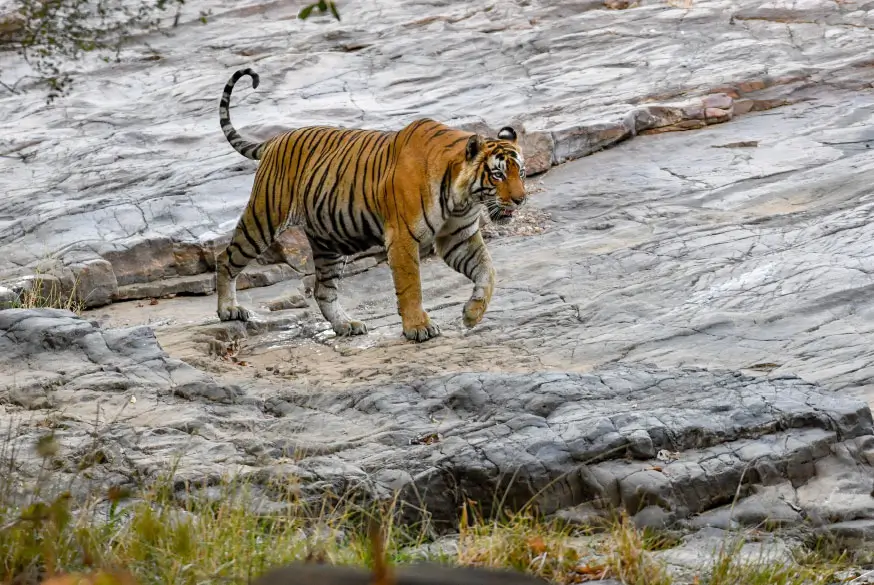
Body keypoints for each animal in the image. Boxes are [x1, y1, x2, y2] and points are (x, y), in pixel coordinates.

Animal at [215, 68, 527, 342]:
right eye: (498, 175)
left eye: (520, 173)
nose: (520, 199)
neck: (462, 199)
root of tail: (274, 140)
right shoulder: (402, 237)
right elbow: (411, 285)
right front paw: (419, 327)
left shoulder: (458, 237)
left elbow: (488, 270)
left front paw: (472, 314)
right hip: (264, 219)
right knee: (226, 258)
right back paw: (228, 310)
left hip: (328, 243)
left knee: (323, 291)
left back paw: (346, 325)